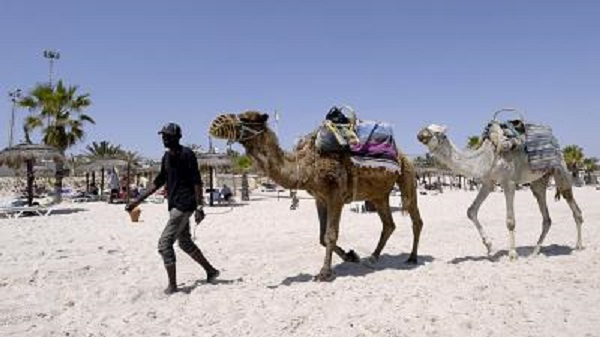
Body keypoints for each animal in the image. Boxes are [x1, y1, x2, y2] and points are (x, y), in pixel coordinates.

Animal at [209, 111, 424, 280]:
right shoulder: (320, 198)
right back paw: (373, 257)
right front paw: (351, 256)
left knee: (415, 219)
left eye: (246, 117)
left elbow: (330, 235)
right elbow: (321, 236)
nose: (216, 122)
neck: (305, 166)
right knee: (389, 224)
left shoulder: (336, 196)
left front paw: (324, 273)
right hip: (378, 195)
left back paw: (412, 257)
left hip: (408, 176)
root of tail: (402, 155)